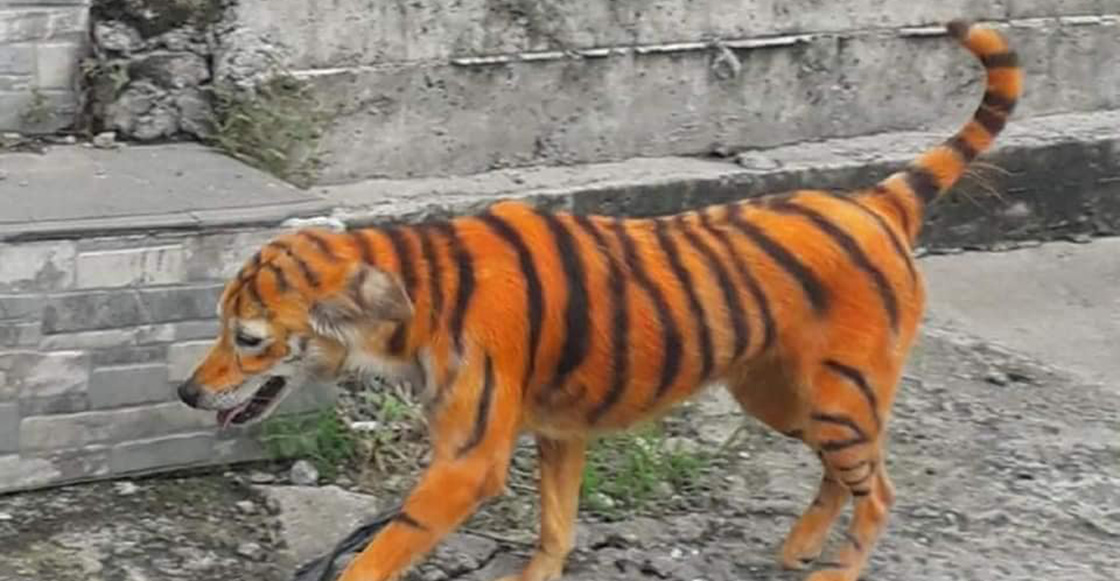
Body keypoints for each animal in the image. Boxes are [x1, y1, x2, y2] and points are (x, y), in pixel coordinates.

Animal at [176, 19, 1022, 581]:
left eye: (247, 336)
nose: (185, 391)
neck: (411, 294)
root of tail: (877, 199)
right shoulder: (558, 429)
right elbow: (556, 523)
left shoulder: (470, 457)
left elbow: (386, 546)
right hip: (784, 395)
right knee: (844, 473)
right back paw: (798, 547)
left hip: (839, 396)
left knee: (879, 489)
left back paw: (835, 568)